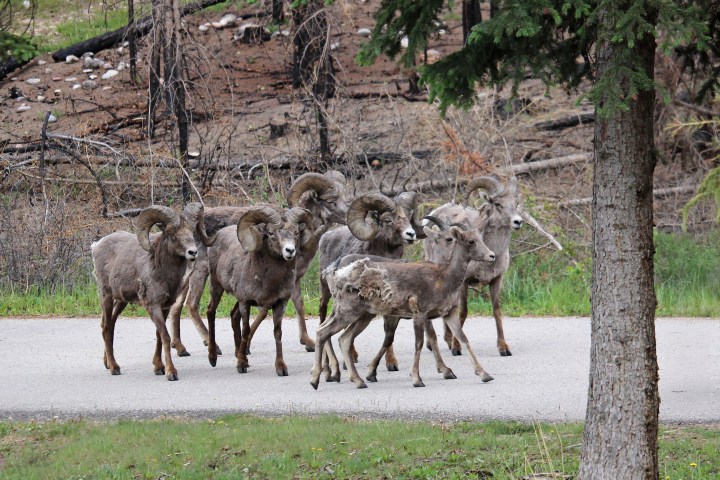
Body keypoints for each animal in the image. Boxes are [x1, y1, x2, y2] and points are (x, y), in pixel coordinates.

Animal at [91, 203, 215, 381]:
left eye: (192, 233)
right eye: (172, 235)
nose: (193, 252)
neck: (161, 273)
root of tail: (96, 246)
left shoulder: (165, 307)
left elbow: (158, 336)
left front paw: (158, 367)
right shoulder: (153, 306)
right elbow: (165, 336)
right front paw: (171, 372)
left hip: (121, 301)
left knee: (110, 324)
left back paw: (107, 363)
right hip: (106, 295)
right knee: (107, 326)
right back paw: (114, 367)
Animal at [168, 170, 349, 356]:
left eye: (344, 196)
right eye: (330, 201)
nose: (348, 214)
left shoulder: (293, 280)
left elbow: (299, 305)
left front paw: (308, 343)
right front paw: (246, 346)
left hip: (187, 278)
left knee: (176, 307)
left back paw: (180, 348)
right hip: (200, 272)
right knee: (191, 305)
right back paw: (212, 346)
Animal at [205, 205, 320, 376]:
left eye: (296, 233)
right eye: (271, 233)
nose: (290, 250)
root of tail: (218, 235)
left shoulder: (279, 303)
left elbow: (277, 333)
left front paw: (281, 367)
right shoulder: (246, 302)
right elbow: (246, 330)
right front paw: (241, 365)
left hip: (235, 299)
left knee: (233, 316)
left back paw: (239, 354)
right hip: (216, 287)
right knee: (211, 312)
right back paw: (213, 358)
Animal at [310, 221, 496, 389]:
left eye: (480, 238)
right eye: (470, 241)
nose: (491, 256)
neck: (444, 279)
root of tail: (336, 272)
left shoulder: (449, 314)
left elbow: (464, 340)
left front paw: (485, 375)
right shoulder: (420, 314)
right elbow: (420, 343)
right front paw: (417, 379)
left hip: (361, 315)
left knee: (343, 338)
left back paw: (358, 381)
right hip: (347, 312)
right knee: (322, 332)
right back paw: (316, 380)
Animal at [316, 191, 425, 374]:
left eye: (408, 217)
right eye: (388, 220)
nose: (410, 234)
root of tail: (326, 237)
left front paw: (391, 363)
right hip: (326, 293)